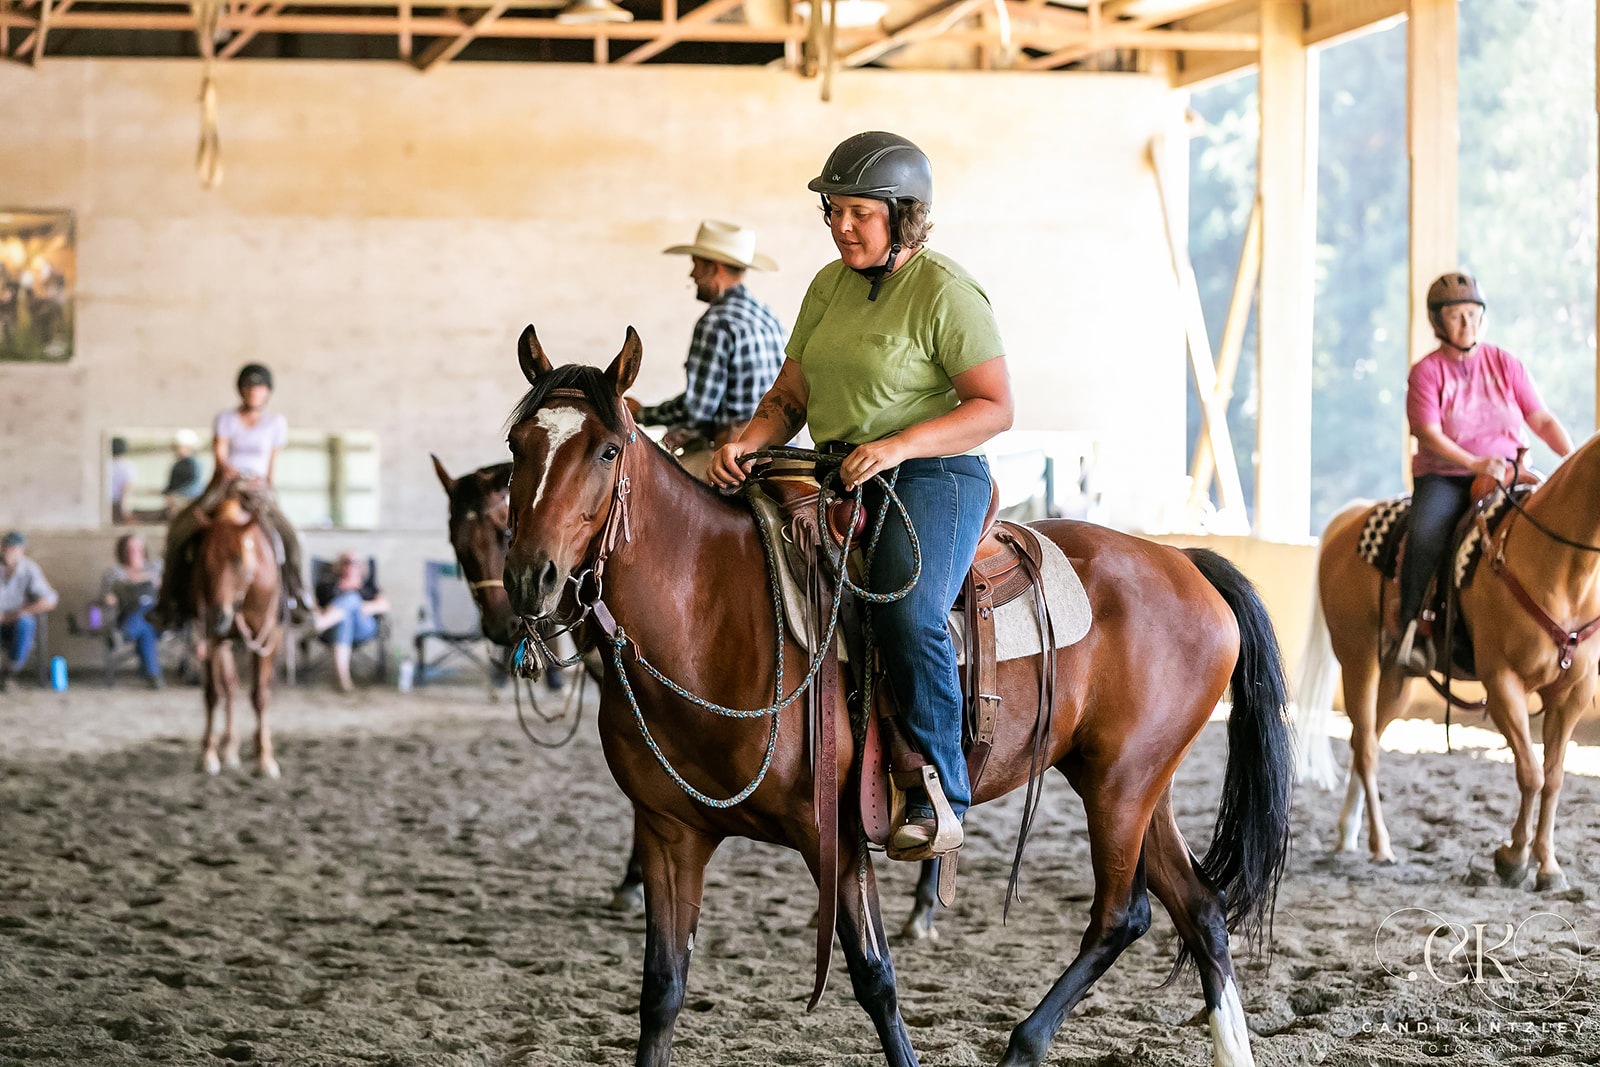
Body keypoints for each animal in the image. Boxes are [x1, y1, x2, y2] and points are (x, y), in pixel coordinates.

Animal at [189, 470, 281, 780]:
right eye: (203, 562)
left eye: (239, 559)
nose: (219, 615)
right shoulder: (211, 637)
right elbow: (213, 693)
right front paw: (208, 755)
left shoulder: (264, 636)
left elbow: (260, 695)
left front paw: (266, 759)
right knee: (229, 688)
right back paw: (228, 748)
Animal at [505, 326, 1292, 1067]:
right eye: (517, 444)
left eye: (607, 451)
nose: (529, 578)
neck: (715, 613)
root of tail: (1182, 559)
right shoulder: (670, 835)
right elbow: (662, 989)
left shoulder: (836, 832)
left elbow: (874, 978)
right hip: (1133, 779)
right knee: (1198, 904)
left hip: (1120, 784)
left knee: (1123, 914)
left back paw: (1022, 1043)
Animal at [1292, 428, 1600, 889]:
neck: (1557, 568)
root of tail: (1351, 519)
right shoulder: (1502, 682)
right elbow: (1531, 772)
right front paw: (1512, 859)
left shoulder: (1571, 694)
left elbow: (1555, 778)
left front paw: (1548, 867)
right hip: (1357, 658)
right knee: (1367, 749)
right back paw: (1381, 846)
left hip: (1396, 679)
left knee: (1365, 742)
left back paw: (1347, 835)